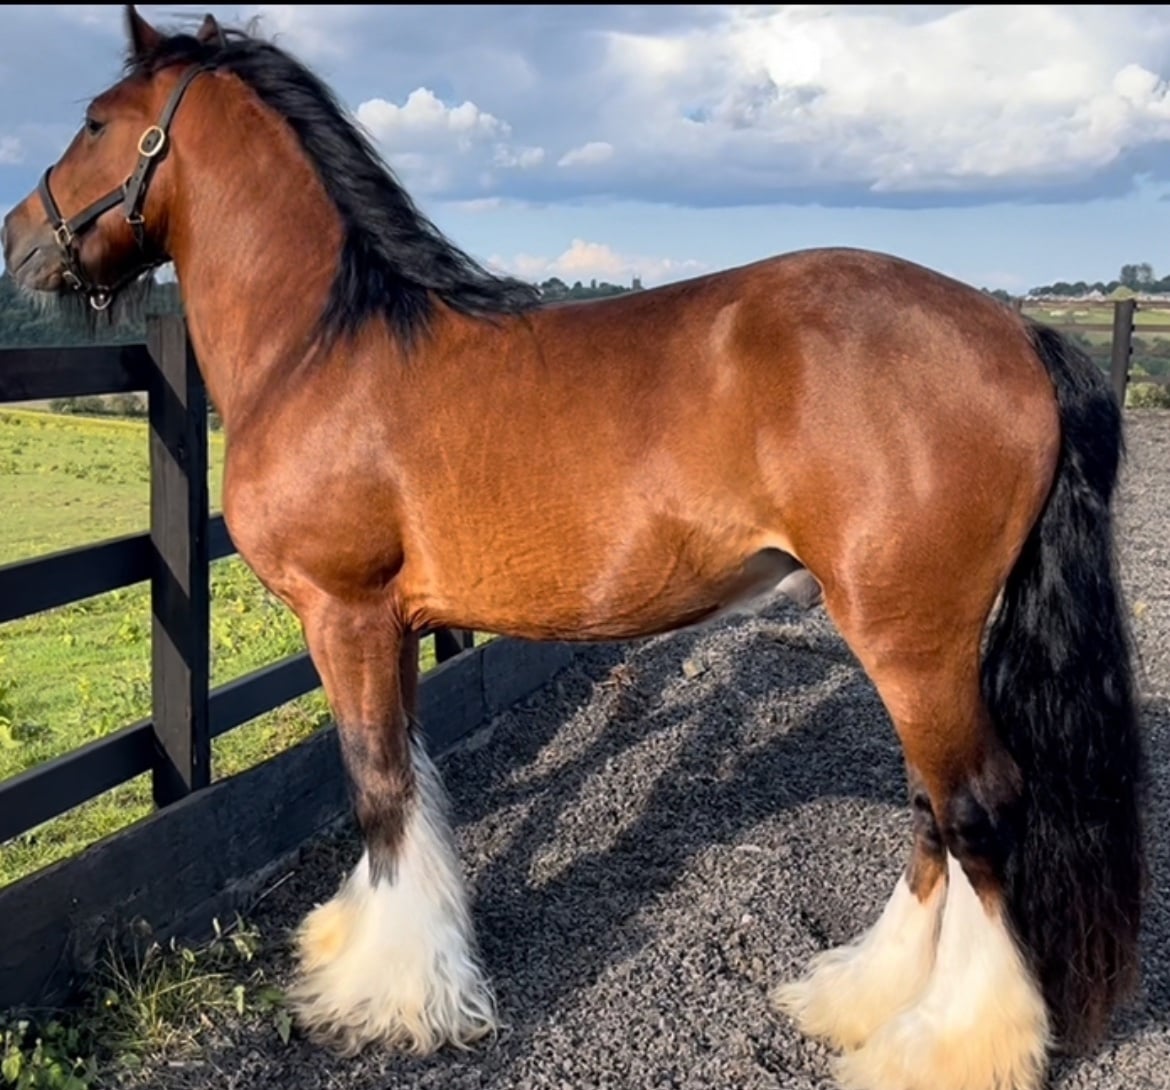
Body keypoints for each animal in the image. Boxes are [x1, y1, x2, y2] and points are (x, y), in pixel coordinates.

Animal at [1, 8, 1146, 1090]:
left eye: (95, 122)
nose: (17, 239)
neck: (325, 346)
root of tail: (1014, 331)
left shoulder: (346, 613)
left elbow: (377, 787)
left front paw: (387, 999)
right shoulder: (398, 624)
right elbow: (411, 783)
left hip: (911, 637)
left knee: (976, 810)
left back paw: (946, 1045)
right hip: (921, 646)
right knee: (929, 813)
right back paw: (861, 995)